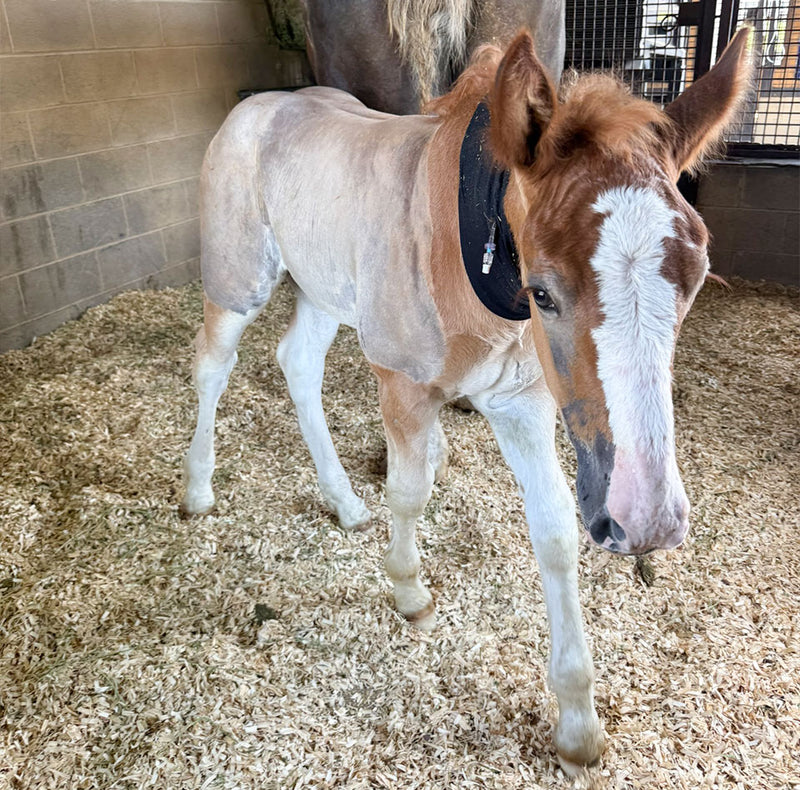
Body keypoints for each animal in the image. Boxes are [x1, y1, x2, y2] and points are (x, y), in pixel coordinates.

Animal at [181, 28, 752, 773]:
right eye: (544, 292)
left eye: (698, 277)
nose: (647, 522)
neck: (467, 256)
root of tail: (259, 105)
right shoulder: (402, 381)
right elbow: (410, 492)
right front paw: (410, 594)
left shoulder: (524, 404)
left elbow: (555, 530)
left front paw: (577, 724)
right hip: (239, 279)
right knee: (213, 365)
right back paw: (198, 489)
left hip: (324, 290)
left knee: (298, 364)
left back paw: (344, 504)